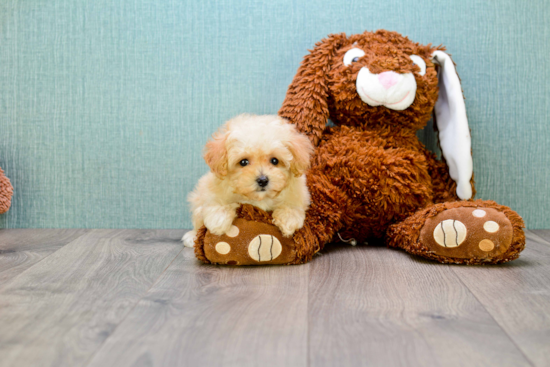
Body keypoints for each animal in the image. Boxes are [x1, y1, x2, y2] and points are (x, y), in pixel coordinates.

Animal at [183, 113, 314, 249]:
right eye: (243, 162)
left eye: (274, 160)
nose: (263, 180)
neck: (259, 198)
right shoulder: (212, 189)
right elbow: (217, 202)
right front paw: (218, 221)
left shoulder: (299, 193)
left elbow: (292, 205)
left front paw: (288, 220)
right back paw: (191, 236)